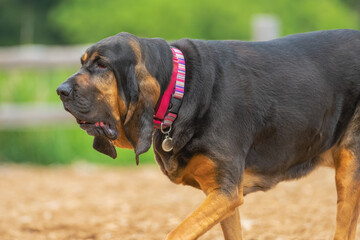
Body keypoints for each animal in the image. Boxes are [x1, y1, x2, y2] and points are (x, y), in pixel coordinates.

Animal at [57, 30, 360, 240]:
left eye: (102, 65)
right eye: (83, 63)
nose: (60, 90)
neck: (180, 89)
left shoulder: (225, 193)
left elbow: (176, 233)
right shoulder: (223, 195)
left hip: (349, 169)